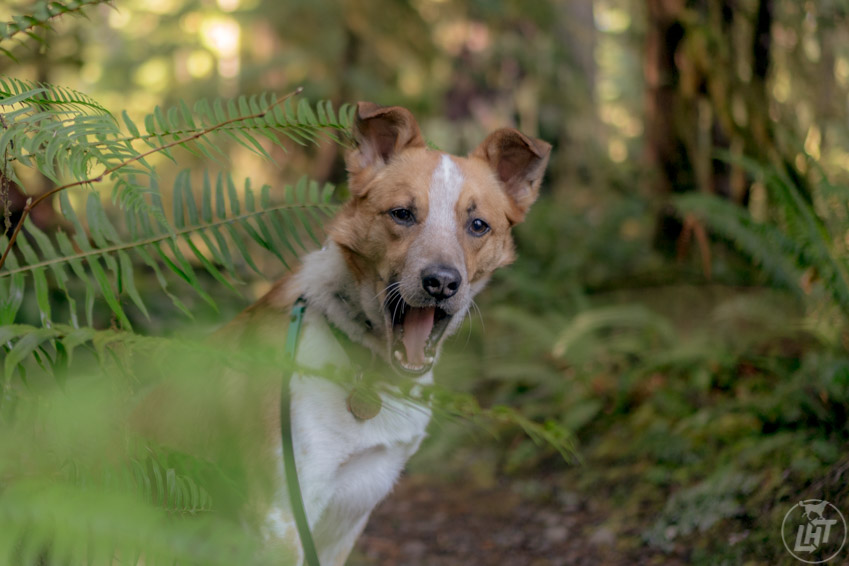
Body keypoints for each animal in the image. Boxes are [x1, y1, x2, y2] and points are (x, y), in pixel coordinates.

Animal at [224, 103, 548, 566]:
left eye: (478, 225)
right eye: (402, 214)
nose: (442, 282)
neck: (370, 369)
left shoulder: (345, 520)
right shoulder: (282, 519)